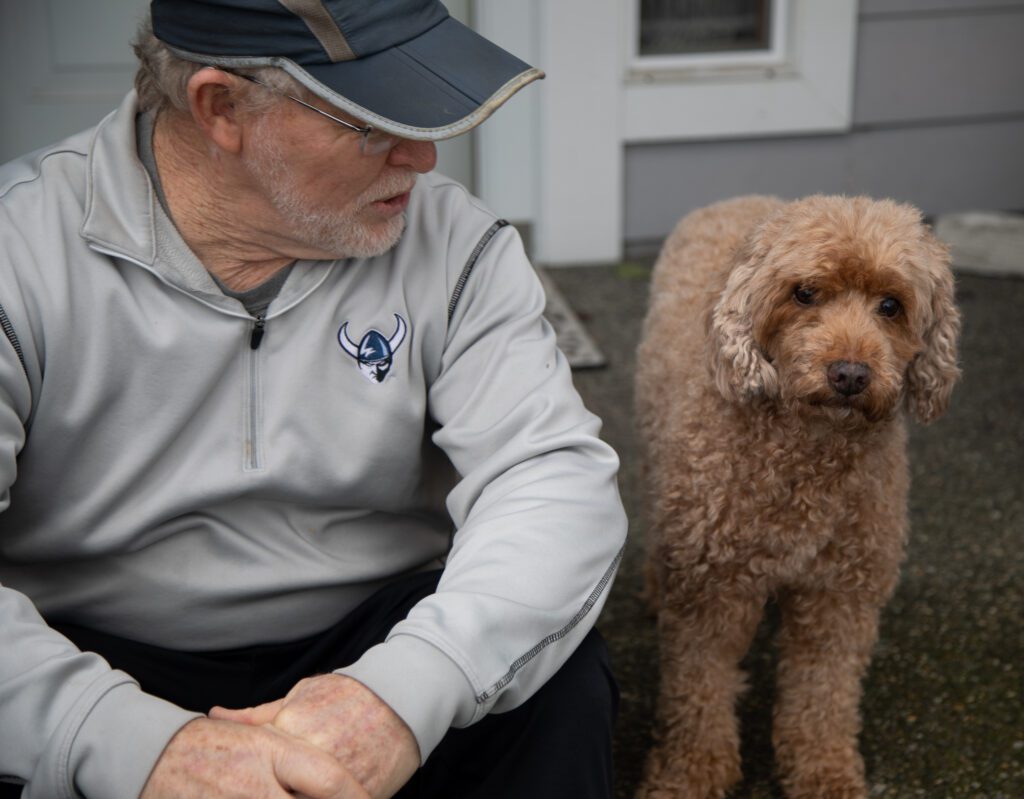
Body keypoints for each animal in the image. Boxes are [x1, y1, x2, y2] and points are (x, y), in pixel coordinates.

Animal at [634, 194, 962, 799]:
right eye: (804, 293)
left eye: (891, 305)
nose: (850, 374)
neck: (807, 452)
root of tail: (739, 200)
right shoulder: (710, 591)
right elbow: (699, 687)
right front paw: (689, 773)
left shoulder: (839, 593)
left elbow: (822, 693)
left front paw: (824, 772)